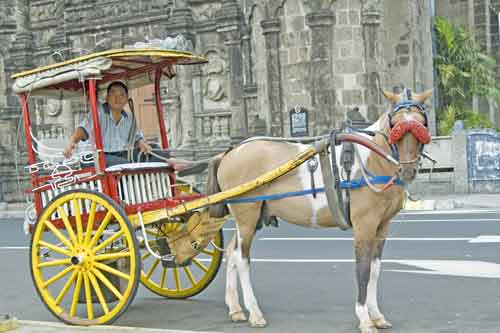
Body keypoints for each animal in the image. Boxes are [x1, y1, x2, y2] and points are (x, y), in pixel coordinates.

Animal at [205, 89, 432, 332]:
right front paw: (364, 318)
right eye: (395, 125)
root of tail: (230, 152)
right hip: (247, 215)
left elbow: (375, 269)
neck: (372, 159)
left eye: (421, 124)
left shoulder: (382, 226)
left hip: (250, 218)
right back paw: (254, 312)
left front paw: (376, 315)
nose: (408, 170)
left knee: (231, 252)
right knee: (242, 258)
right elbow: (363, 269)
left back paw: (235, 309)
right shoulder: (365, 224)